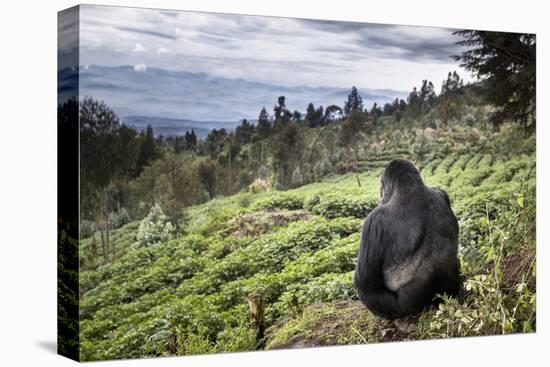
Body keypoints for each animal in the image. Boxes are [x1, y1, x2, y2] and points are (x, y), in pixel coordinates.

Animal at [354, 160, 462, 320]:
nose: (381, 196)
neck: (411, 189)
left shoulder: (374, 221)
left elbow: (366, 286)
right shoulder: (442, 194)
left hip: (406, 308)